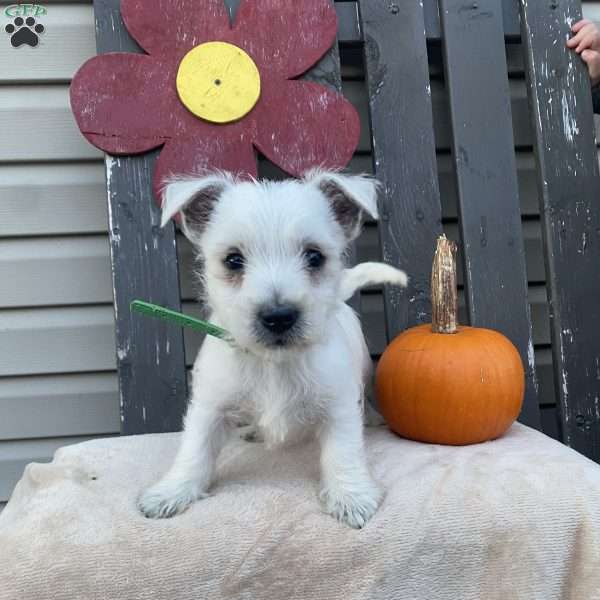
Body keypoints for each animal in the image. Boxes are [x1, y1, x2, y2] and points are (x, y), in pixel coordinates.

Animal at [138, 170, 406, 528]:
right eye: (233, 260)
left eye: (314, 256)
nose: (279, 317)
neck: (273, 363)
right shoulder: (210, 406)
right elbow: (194, 449)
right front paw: (171, 491)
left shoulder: (338, 407)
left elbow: (343, 452)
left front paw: (351, 496)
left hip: (363, 369)